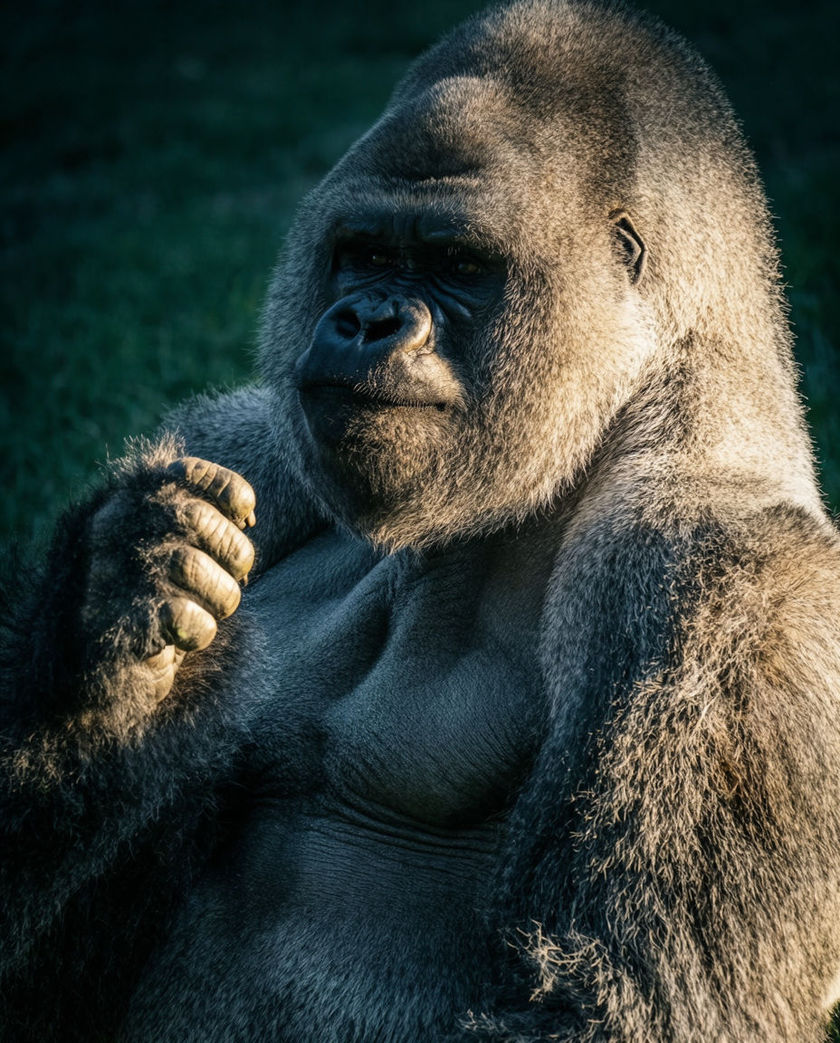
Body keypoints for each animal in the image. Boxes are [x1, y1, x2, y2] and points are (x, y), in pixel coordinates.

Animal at [2, 0, 840, 1040]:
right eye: (364, 252)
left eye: (457, 266)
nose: (366, 321)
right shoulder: (240, 436)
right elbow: (50, 958)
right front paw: (103, 605)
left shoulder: (728, 585)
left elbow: (612, 999)